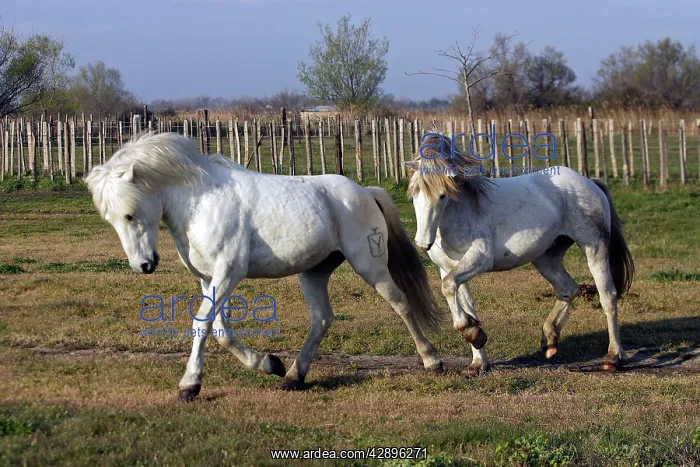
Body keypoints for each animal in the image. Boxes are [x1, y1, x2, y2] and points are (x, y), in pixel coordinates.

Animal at [85, 132, 447, 402]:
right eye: (111, 219)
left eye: (130, 214)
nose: (143, 265)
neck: (200, 202)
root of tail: (365, 192)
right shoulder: (209, 279)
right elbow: (219, 330)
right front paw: (269, 363)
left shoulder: (228, 273)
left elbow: (202, 324)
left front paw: (189, 386)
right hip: (314, 272)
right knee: (322, 318)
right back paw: (293, 377)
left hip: (370, 265)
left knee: (400, 303)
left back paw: (433, 361)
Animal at [404, 129, 634, 375]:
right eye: (414, 193)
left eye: (442, 195)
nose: (422, 243)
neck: (461, 211)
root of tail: (589, 182)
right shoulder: (449, 268)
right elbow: (463, 303)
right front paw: (478, 357)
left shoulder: (479, 258)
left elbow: (448, 287)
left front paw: (474, 335)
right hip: (546, 258)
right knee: (568, 289)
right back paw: (549, 340)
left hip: (594, 247)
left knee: (607, 296)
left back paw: (614, 358)